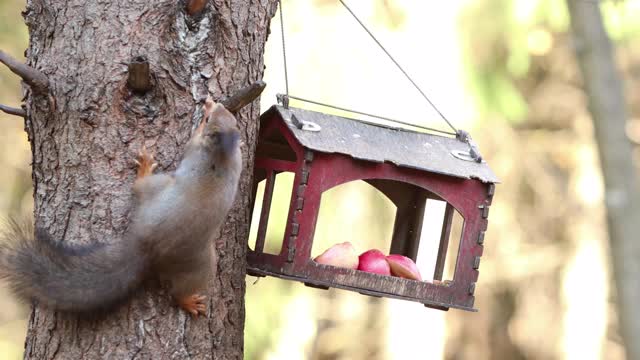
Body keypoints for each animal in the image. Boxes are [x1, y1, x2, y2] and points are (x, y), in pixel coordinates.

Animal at [0, 97, 242, 316]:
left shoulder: (194, 146)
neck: (222, 154)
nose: (210, 102)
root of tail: (147, 244)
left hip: (167, 202)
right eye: (231, 119)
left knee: (176, 292)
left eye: (208, 119)